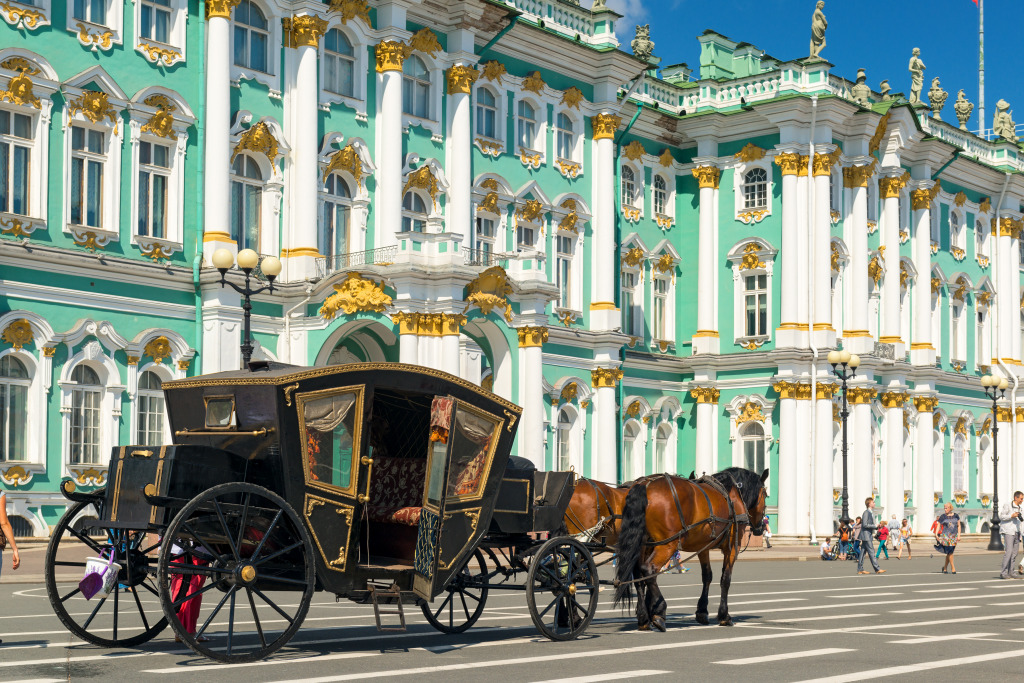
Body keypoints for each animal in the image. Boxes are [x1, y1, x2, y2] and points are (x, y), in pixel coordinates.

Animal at [606, 466, 770, 634]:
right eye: (765, 494)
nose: (759, 528)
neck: (732, 494)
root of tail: (644, 485)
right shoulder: (731, 547)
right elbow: (725, 579)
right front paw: (724, 616)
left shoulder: (703, 547)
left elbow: (707, 576)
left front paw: (702, 611)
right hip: (667, 544)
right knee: (649, 570)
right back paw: (659, 612)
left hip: (644, 544)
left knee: (639, 575)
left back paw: (644, 617)